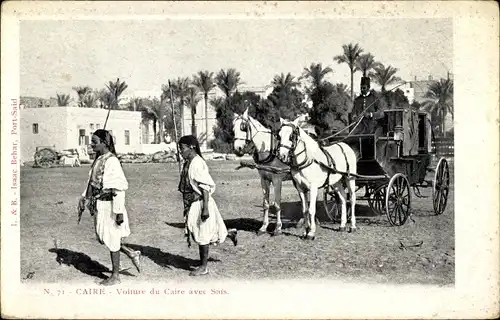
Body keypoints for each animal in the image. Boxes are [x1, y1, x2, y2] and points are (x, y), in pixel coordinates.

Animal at [232, 107, 292, 235]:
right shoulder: (264, 179)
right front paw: (263, 227)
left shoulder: (277, 180)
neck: (270, 150)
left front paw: (278, 228)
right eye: (233, 128)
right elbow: (266, 204)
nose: (237, 149)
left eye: (243, 127)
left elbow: (277, 204)